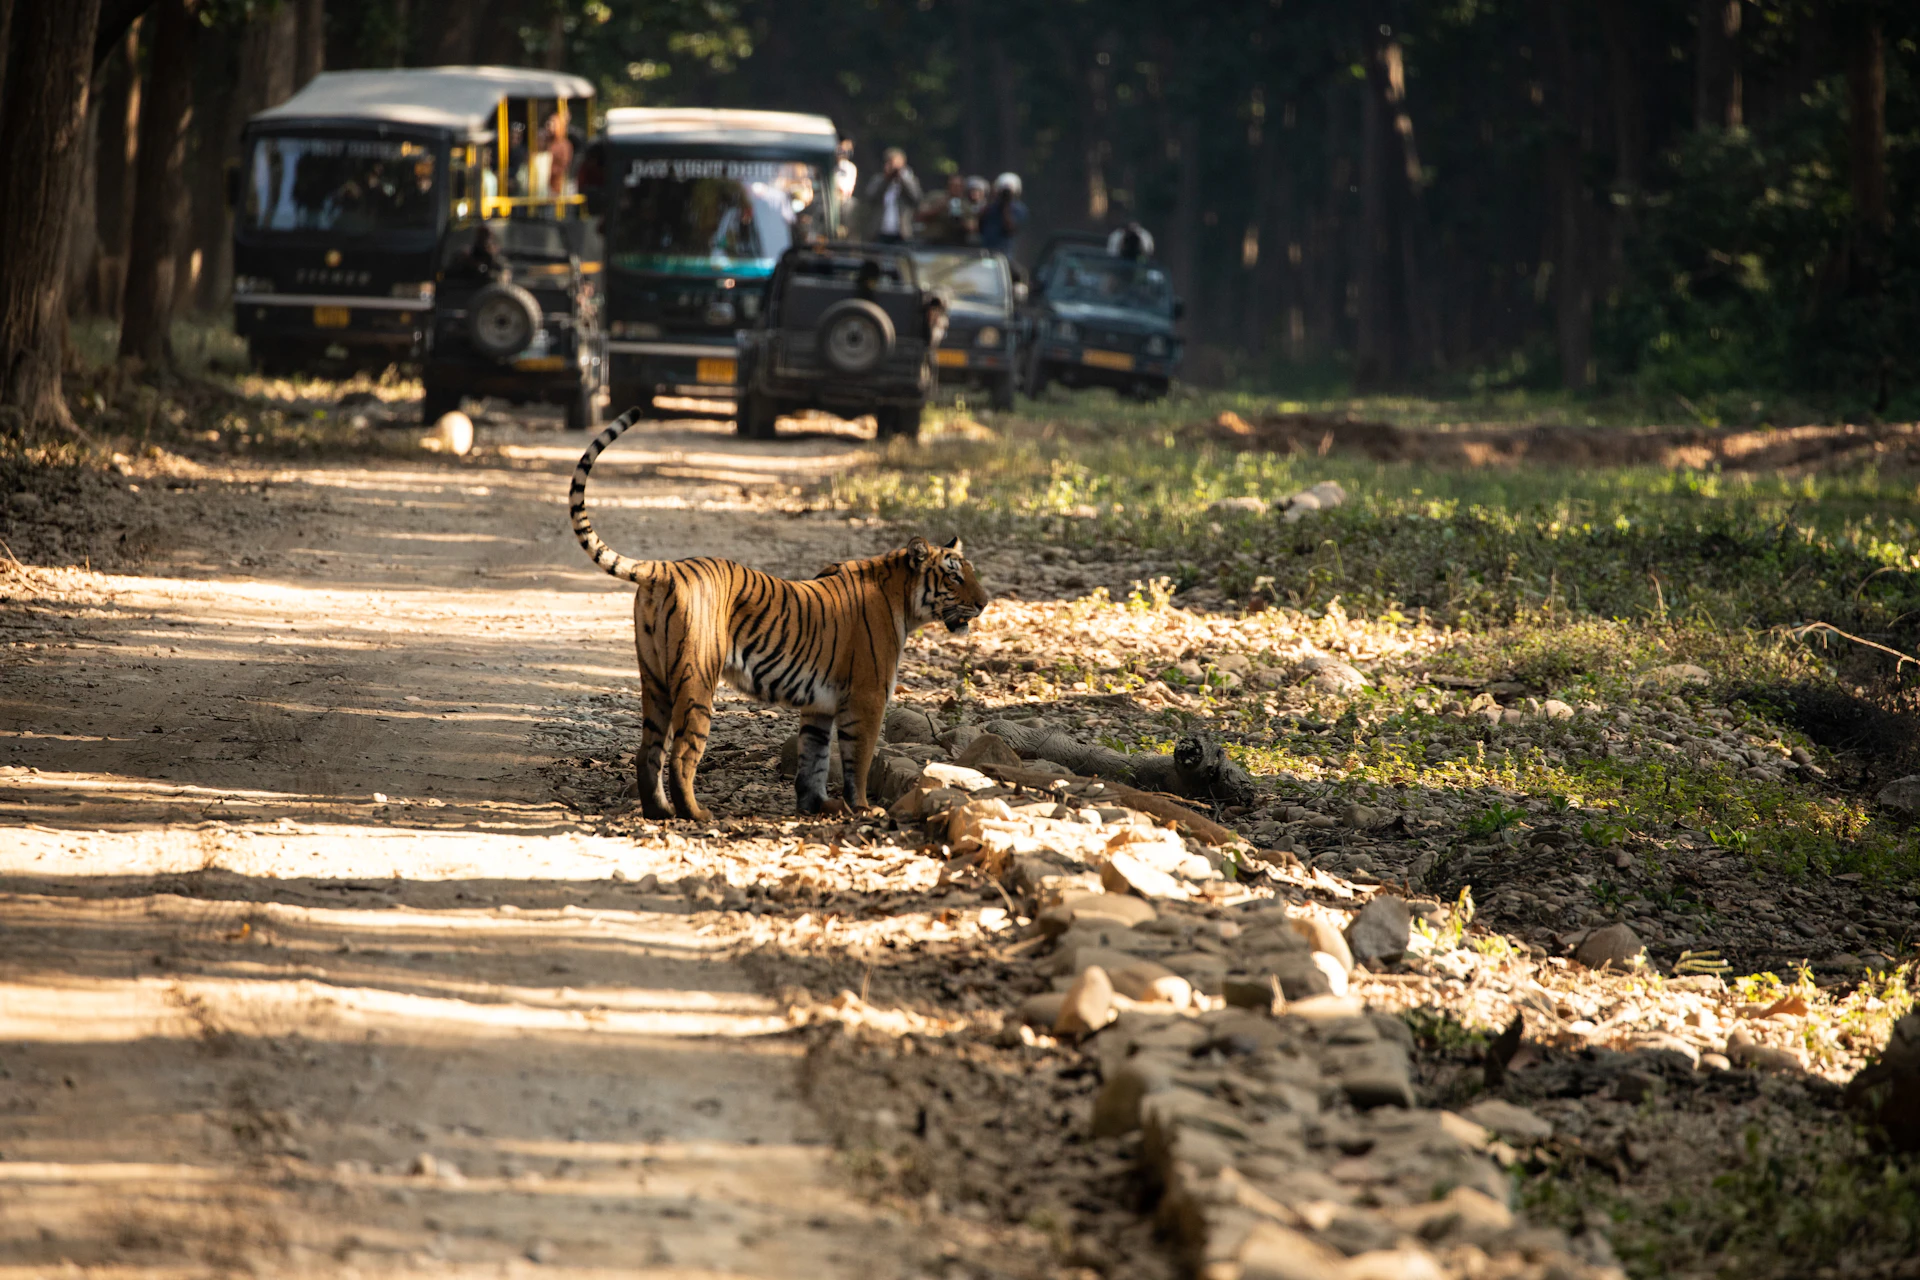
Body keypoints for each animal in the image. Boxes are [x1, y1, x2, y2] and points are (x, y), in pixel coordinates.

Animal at [568, 409, 989, 821]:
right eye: (955, 576)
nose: (986, 602)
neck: (902, 597)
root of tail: (666, 568)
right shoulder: (867, 698)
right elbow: (859, 760)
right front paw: (862, 809)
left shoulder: (820, 706)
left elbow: (814, 759)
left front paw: (816, 806)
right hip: (697, 678)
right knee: (683, 753)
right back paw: (696, 814)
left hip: (653, 677)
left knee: (648, 751)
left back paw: (659, 812)